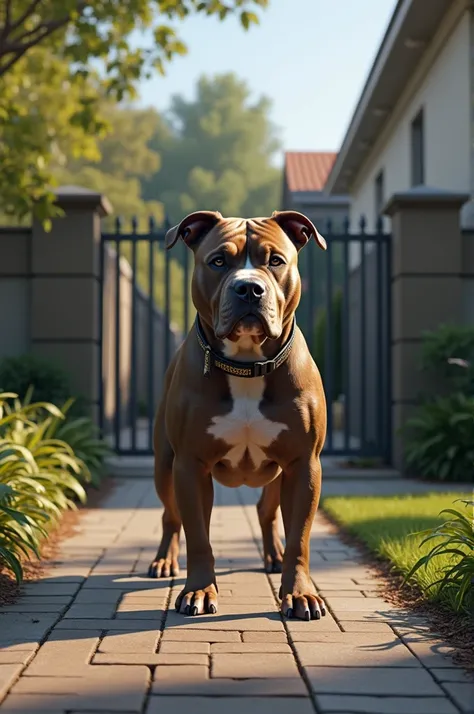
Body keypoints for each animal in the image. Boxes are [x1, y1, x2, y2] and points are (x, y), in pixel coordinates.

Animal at [150, 210, 328, 616]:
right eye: (218, 261)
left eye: (275, 261)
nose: (249, 288)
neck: (247, 364)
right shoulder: (190, 464)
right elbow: (198, 536)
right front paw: (199, 591)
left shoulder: (304, 464)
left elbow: (299, 537)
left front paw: (299, 593)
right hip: (164, 465)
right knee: (171, 516)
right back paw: (165, 560)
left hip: (279, 473)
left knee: (266, 510)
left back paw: (273, 555)